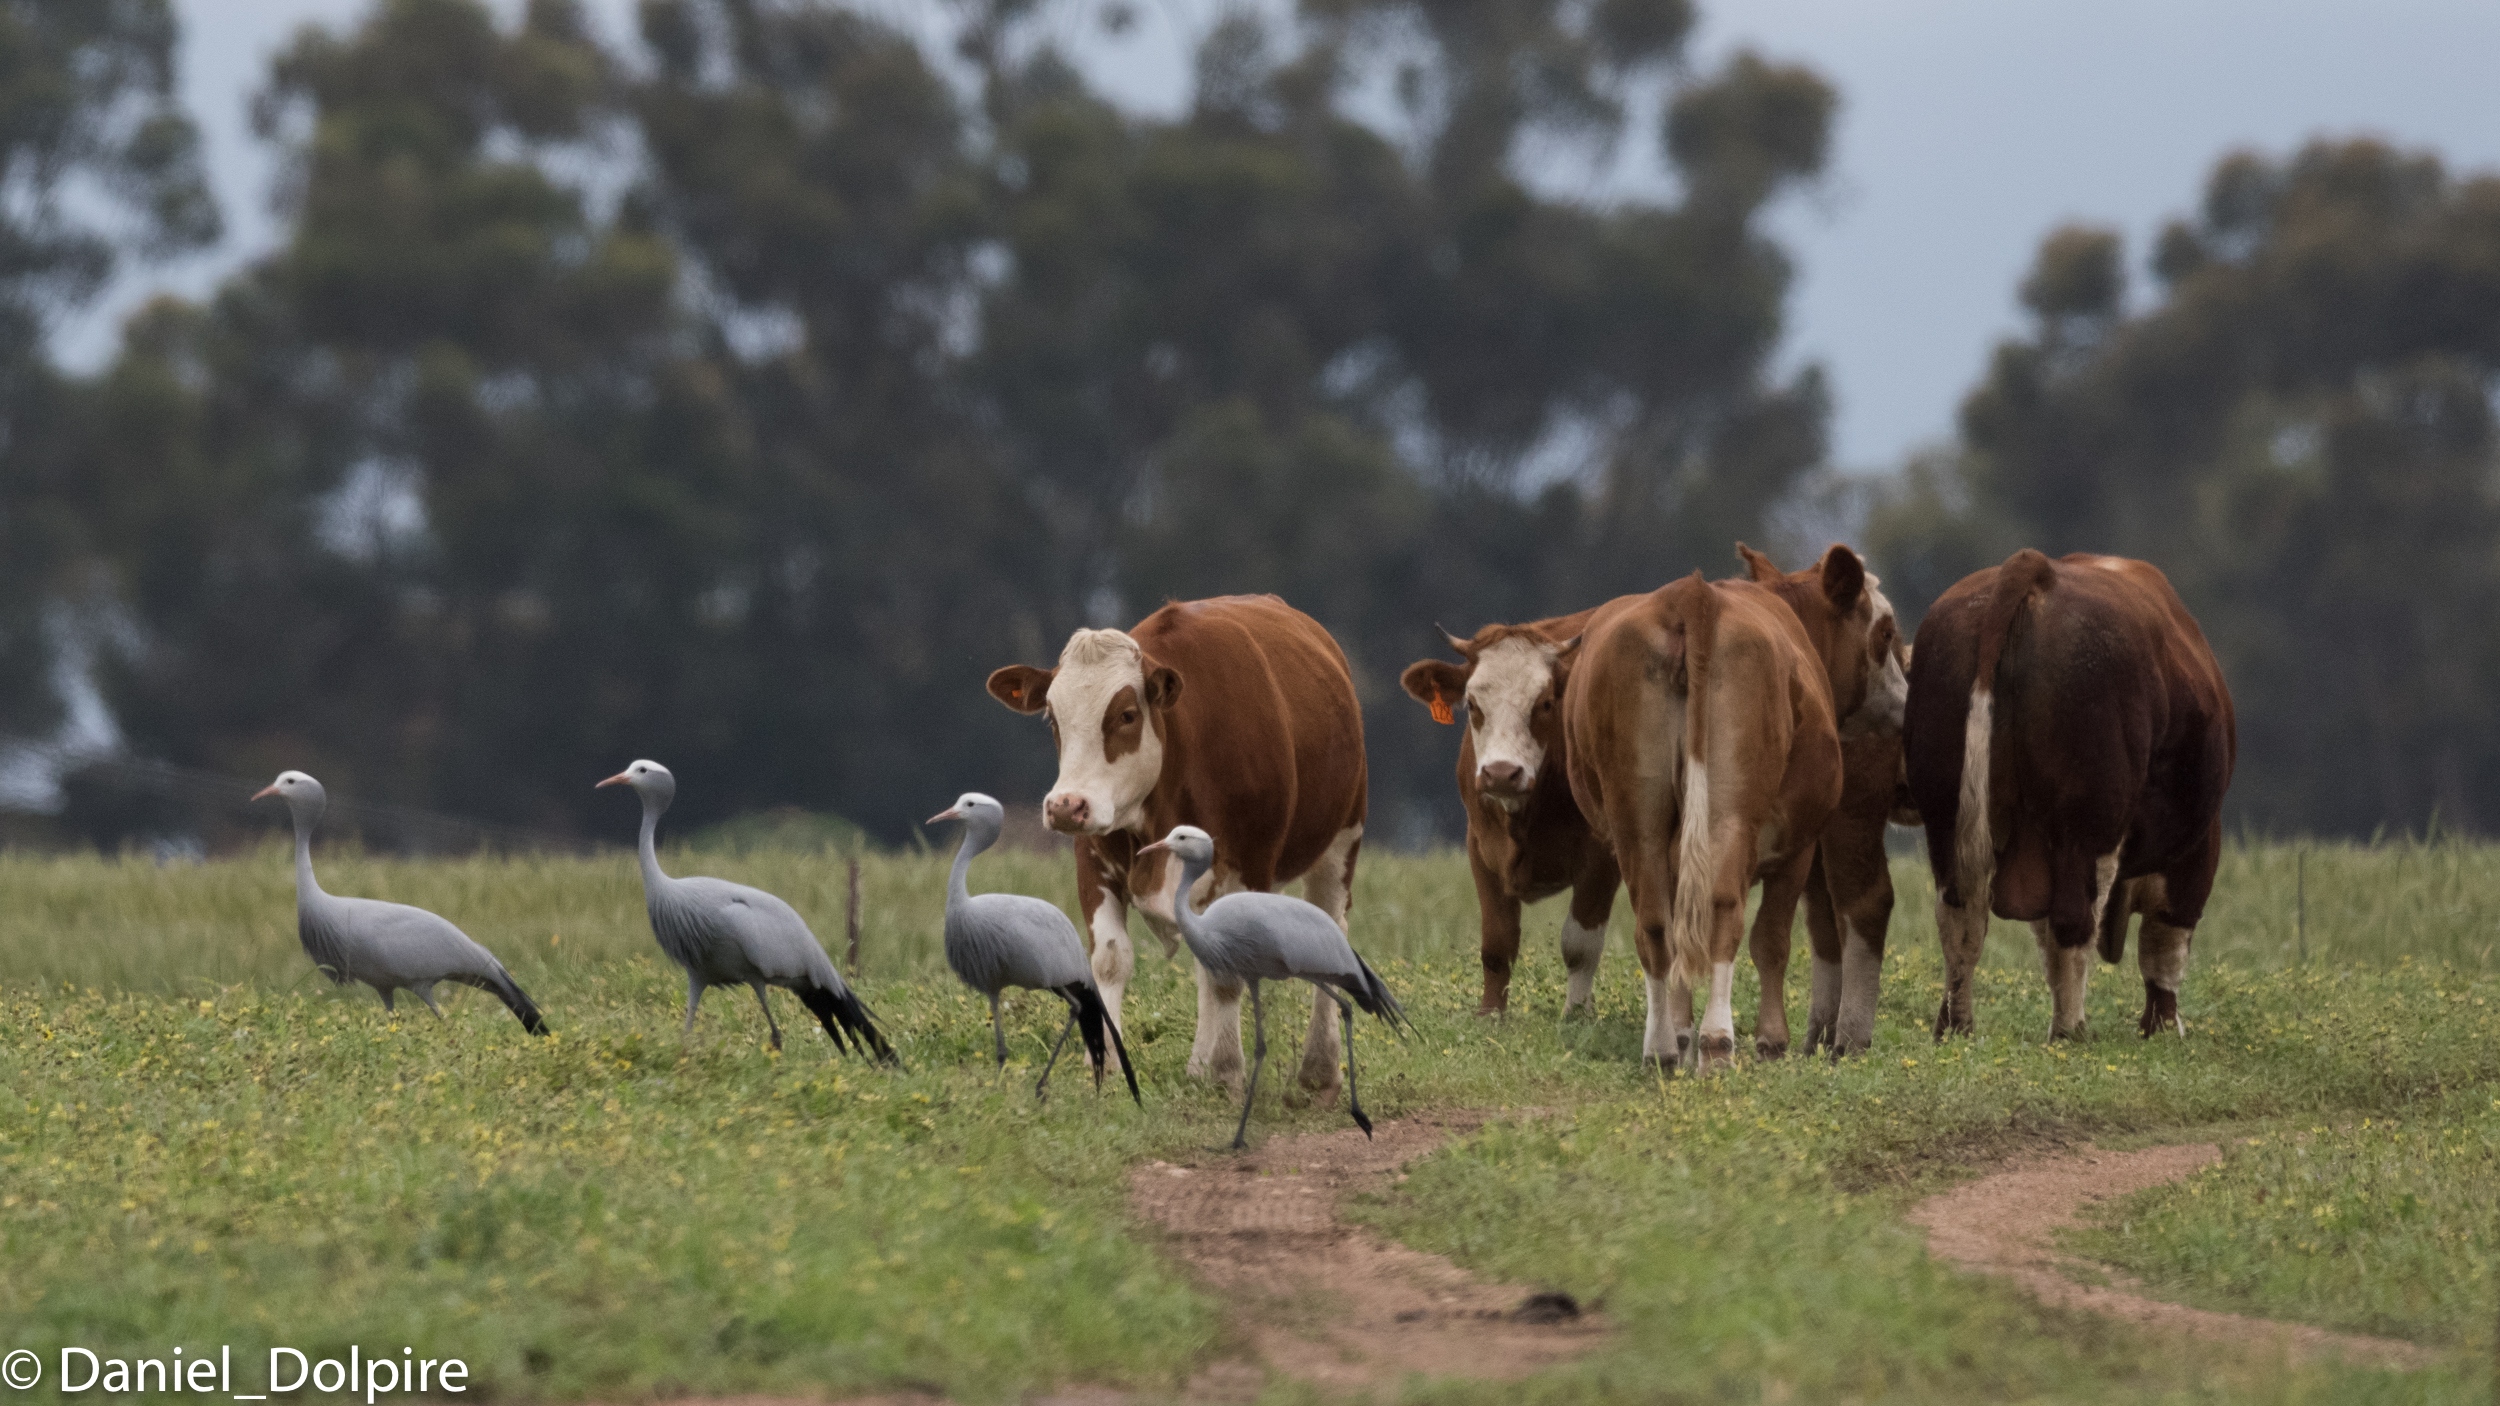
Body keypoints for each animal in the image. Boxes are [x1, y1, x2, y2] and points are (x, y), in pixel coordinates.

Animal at [985, 590, 1370, 1095]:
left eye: (1127, 715)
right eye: (1052, 717)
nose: (1066, 805)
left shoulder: (1248, 865)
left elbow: (1226, 973)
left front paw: (1226, 1070)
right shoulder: (1093, 859)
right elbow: (1111, 960)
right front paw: (1107, 1064)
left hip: (1341, 839)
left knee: (1332, 928)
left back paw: (1318, 1070)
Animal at [1390, 607, 1620, 1010]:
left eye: (1546, 703)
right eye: (1471, 704)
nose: (1501, 773)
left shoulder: (1602, 855)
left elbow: (1580, 946)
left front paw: (1577, 1013)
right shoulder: (1481, 847)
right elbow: (1497, 943)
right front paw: (1490, 1013)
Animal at [1560, 542, 1890, 1065]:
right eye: (1886, 631)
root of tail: (1692, 596)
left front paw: (1679, 1031)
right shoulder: (1798, 846)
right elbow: (1772, 940)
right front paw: (1771, 1039)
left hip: (1638, 819)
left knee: (1657, 924)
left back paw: (1661, 1049)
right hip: (1730, 814)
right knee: (1723, 911)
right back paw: (1718, 1042)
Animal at [1900, 547, 2240, 1040]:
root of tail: (2037, 569)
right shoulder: (2196, 845)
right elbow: (2166, 943)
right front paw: (2162, 1028)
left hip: (1945, 815)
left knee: (1961, 918)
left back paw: (1956, 1026)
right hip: (2086, 823)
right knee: (2074, 921)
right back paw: (2071, 1030)